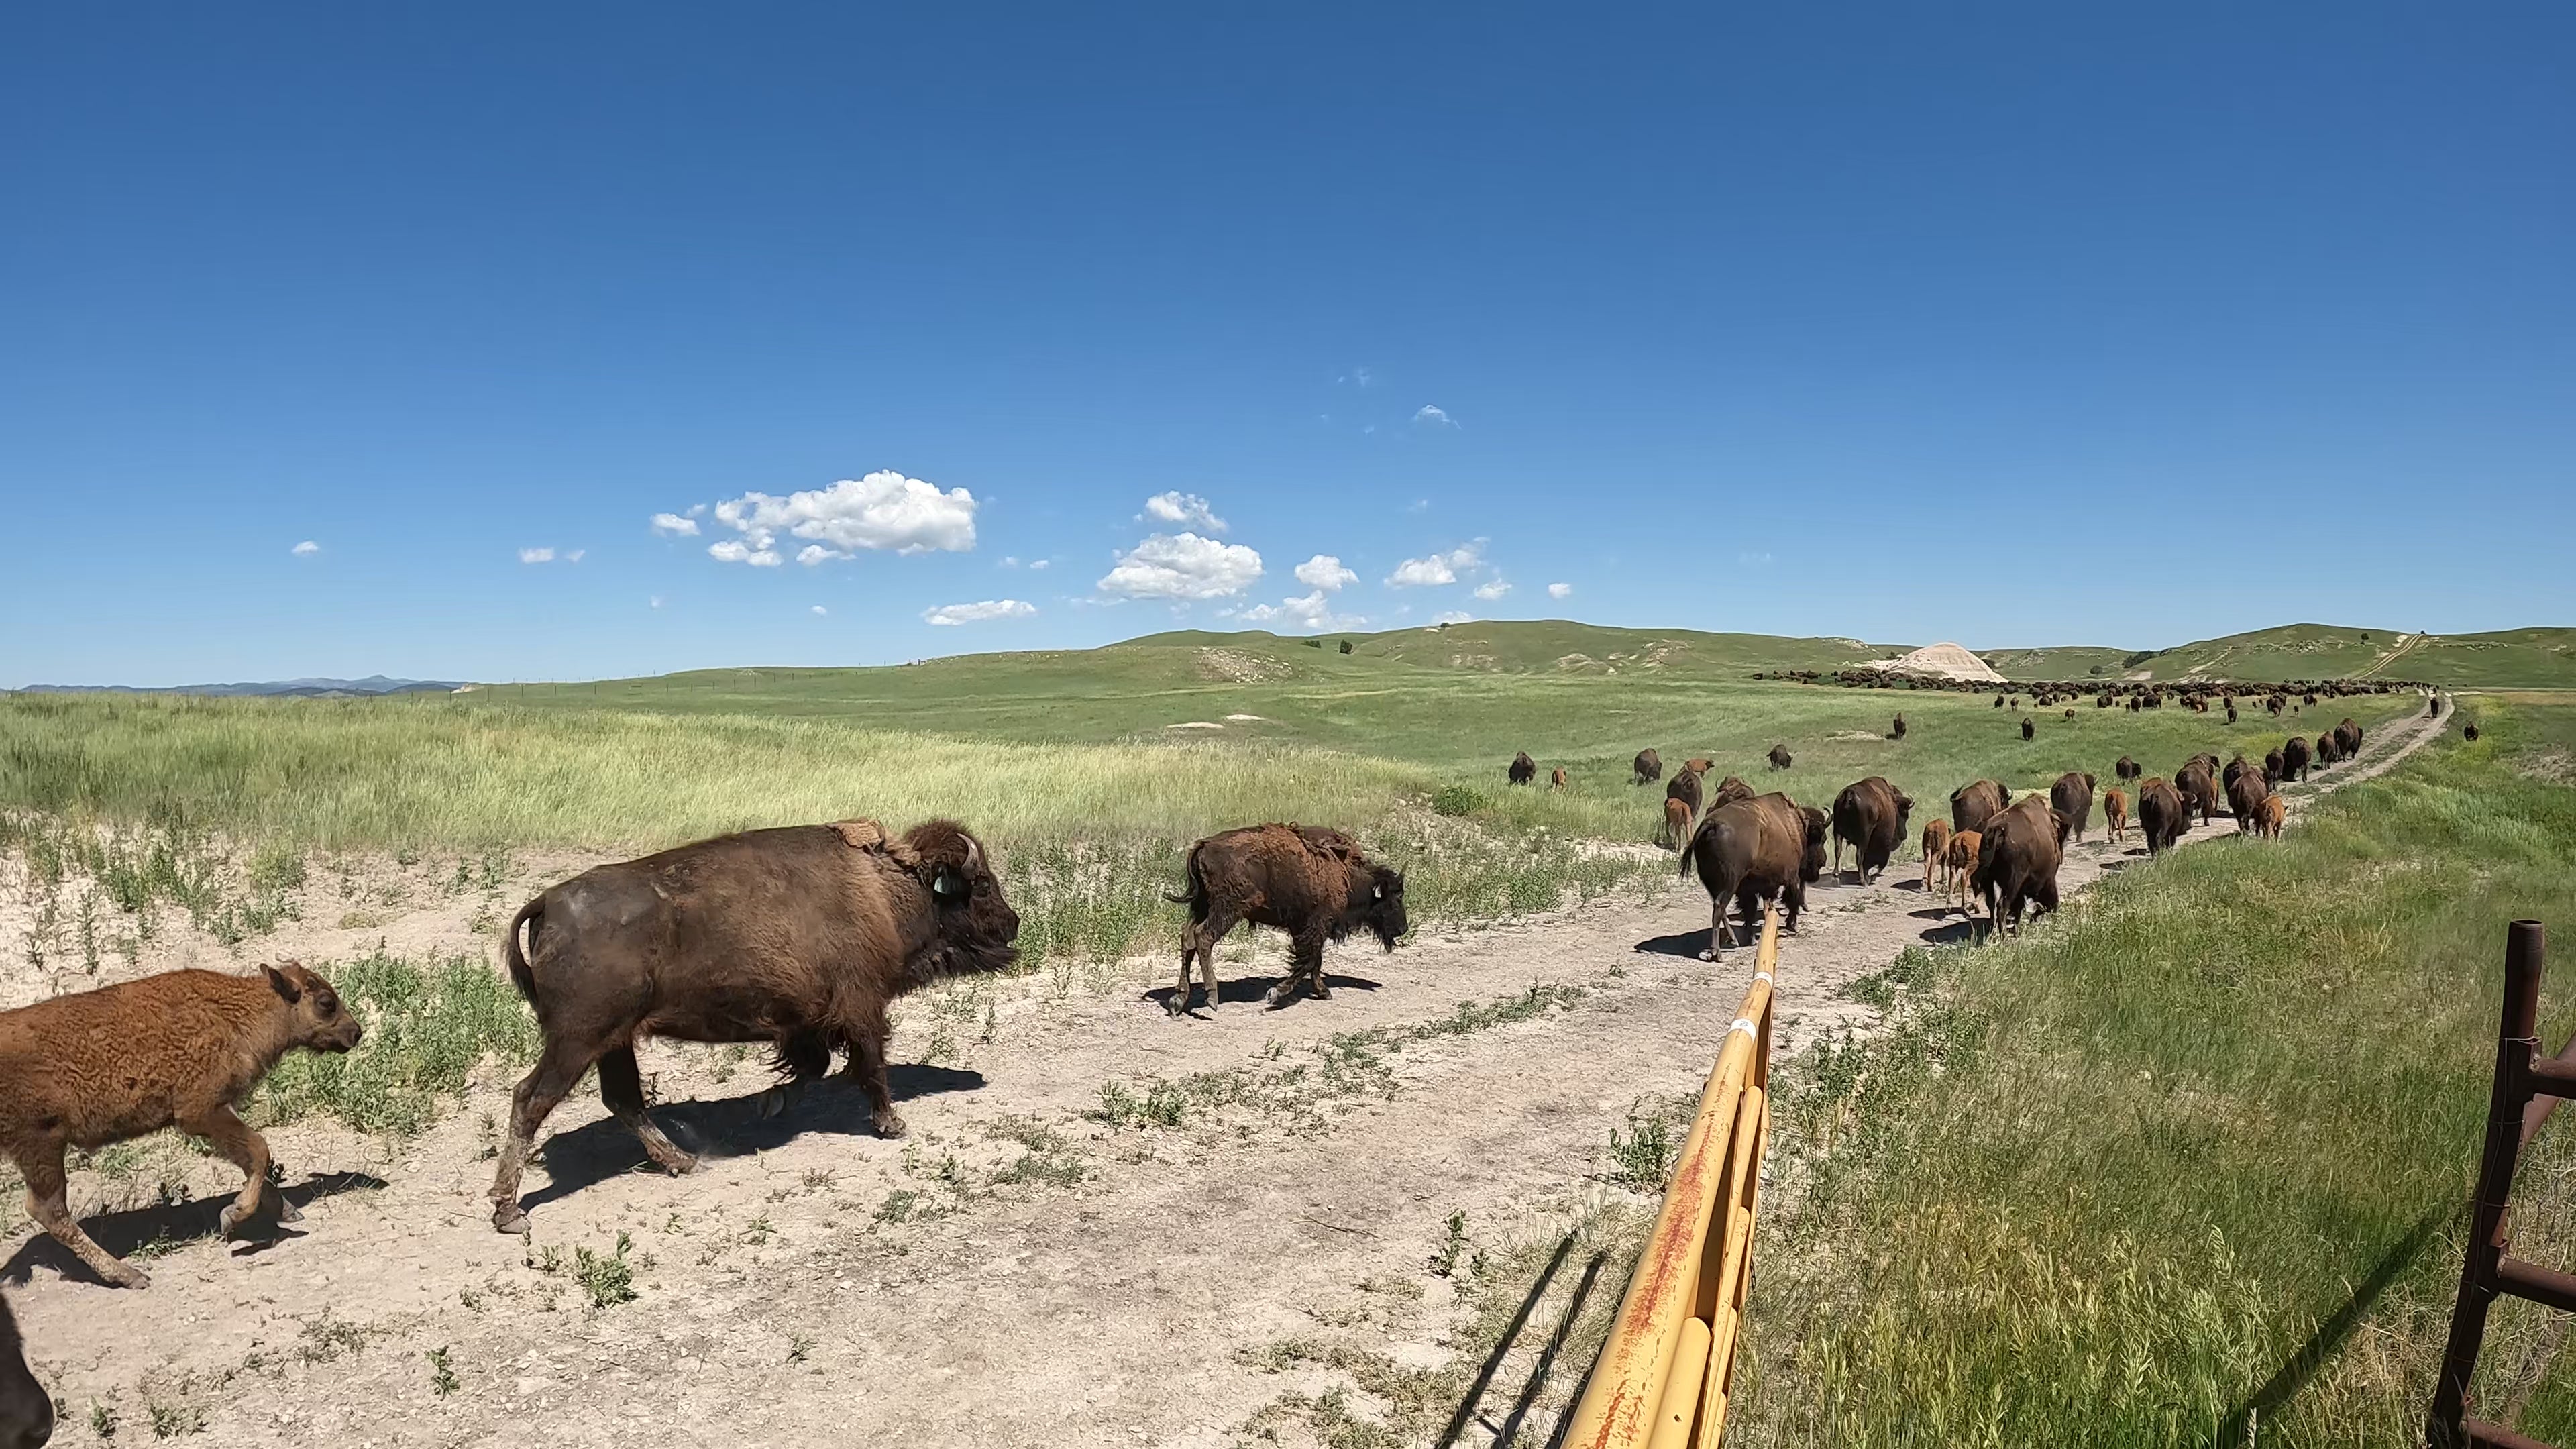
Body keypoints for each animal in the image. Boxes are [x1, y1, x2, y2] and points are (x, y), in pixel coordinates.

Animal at [487, 817, 1020, 1234]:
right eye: (983, 885)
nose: (1012, 923)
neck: (883, 889)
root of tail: (548, 902)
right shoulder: (861, 1008)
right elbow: (870, 1067)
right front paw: (892, 1125)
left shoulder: (807, 1023)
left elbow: (813, 1067)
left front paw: (770, 1103)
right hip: (577, 1041)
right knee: (531, 1099)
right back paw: (510, 1212)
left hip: (614, 1041)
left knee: (623, 1099)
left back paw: (681, 1161)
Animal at [1168, 824, 1406, 1018]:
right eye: (1396, 898)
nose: (1403, 928)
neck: (1345, 872)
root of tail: (1203, 845)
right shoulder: (1315, 925)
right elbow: (1308, 961)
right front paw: (1276, 993)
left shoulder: (1305, 927)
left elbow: (1315, 961)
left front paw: (1323, 992)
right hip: (1227, 910)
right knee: (1203, 936)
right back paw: (1212, 998)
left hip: (1202, 907)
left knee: (1188, 938)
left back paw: (1178, 1001)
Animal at [1680, 793, 1828, 961]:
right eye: (1822, 839)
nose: (1823, 861)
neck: (1796, 827)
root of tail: (1711, 825)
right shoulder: (1791, 877)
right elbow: (1792, 900)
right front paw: (1792, 925)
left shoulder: (1749, 888)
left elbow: (1750, 911)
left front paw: (1750, 938)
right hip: (1730, 883)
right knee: (1719, 907)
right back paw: (1717, 952)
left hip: (1713, 884)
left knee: (1720, 909)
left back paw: (1733, 939)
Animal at [1830, 777, 1913, 884]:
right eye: (1904, 815)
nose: (1904, 835)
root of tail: (1850, 794)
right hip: (1864, 837)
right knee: (1859, 856)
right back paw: (1863, 881)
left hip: (1837, 832)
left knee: (1838, 850)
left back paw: (1836, 875)